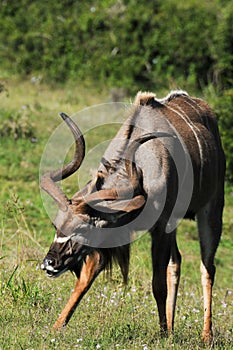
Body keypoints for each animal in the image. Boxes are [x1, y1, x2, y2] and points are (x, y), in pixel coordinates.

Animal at [41, 90, 225, 342]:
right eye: (56, 226)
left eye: (82, 229)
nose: (49, 263)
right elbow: (86, 277)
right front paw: (57, 326)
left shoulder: (161, 226)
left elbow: (158, 284)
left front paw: (162, 334)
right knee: (176, 262)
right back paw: (173, 326)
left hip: (211, 209)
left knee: (207, 267)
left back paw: (206, 335)